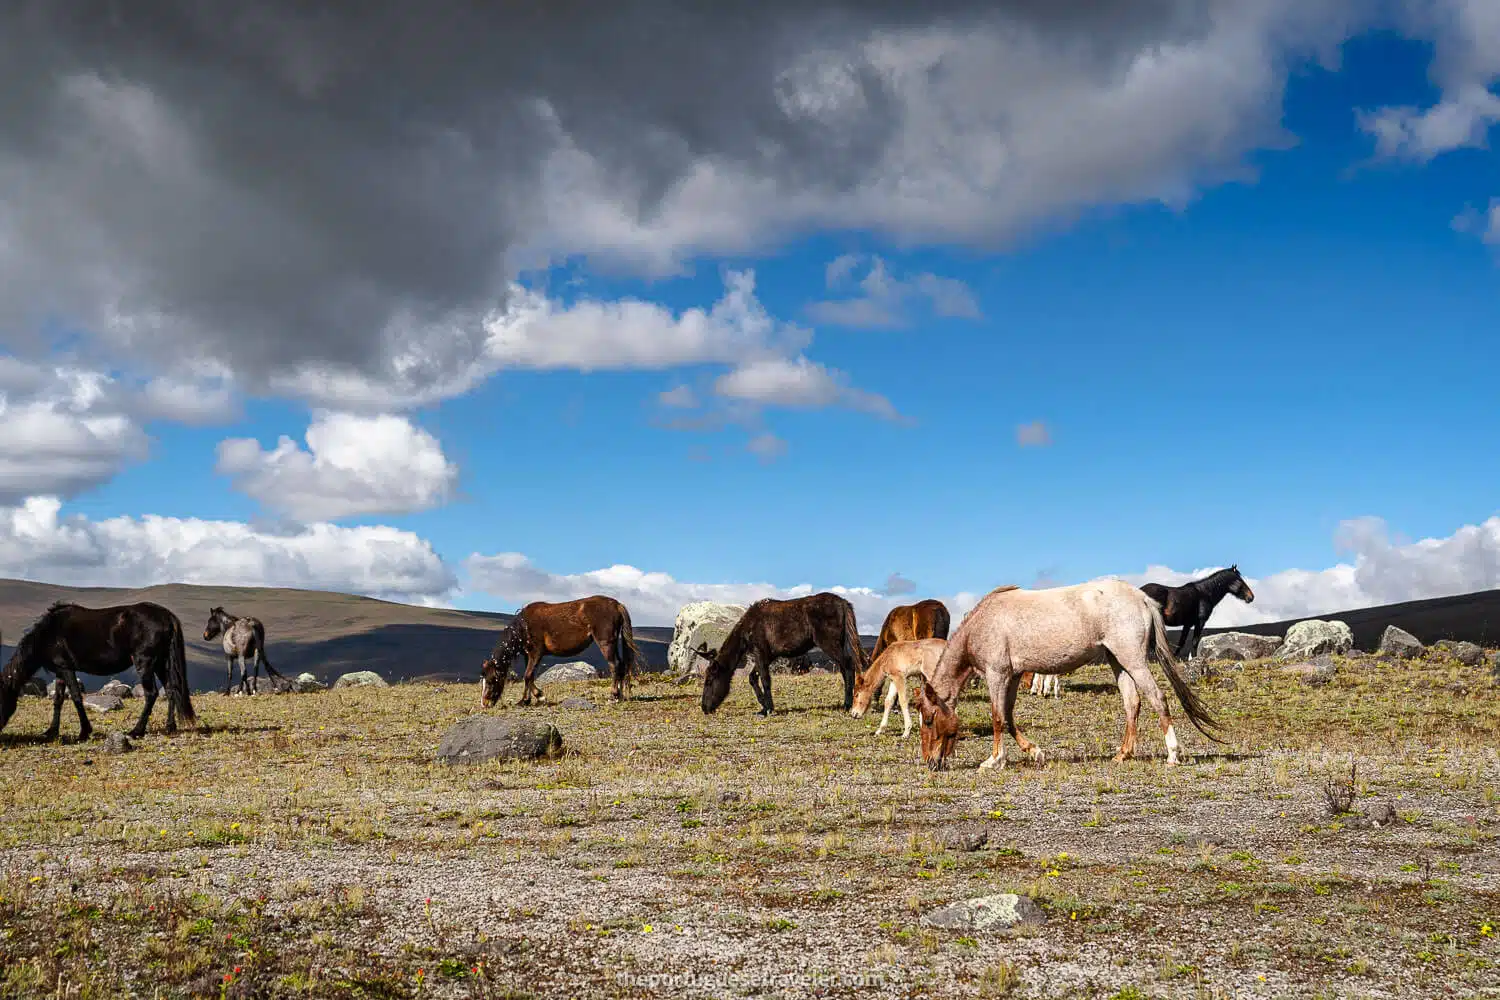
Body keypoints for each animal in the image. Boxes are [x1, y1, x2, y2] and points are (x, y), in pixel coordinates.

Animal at [0, 602, 196, 743]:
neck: (48, 633)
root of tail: (167, 616)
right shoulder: (60, 671)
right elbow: (58, 700)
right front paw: (51, 731)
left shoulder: (66, 668)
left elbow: (76, 697)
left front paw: (84, 732)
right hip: (161, 663)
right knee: (171, 690)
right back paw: (170, 727)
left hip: (146, 663)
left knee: (151, 693)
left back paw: (136, 731)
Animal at [483, 599, 642, 707]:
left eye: (491, 680)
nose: (484, 704)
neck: (523, 626)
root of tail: (617, 604)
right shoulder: (528, 655)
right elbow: (529, 677)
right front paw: (525, 700)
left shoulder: (536, 653)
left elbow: (528, 676)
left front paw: (540, 696)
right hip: (613, 644)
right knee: (621, 666)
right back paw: (620, 696)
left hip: (606, 644)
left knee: (614, 666)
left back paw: (613, 696)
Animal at [699, 590, 870, 716]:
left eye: (709, 681)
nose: (704, 708)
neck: (747, 629)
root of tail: (843, 603)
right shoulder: (767, 656)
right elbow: (753, 678)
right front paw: (763, 706)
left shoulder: (760, 653)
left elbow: (765, 680)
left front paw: (768, 709)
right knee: (844, 668)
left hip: (829, 644)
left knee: (848, 665)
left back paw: (847, 705)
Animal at [906, 581, 1224, 773]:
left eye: (930, 719)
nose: (930, 763)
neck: (982, 624)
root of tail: (1142, 598)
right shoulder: (1013, 675)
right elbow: (1008, 717)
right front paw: (1034, 752)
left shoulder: (997, 675)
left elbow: (997, 717)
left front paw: (994, 760)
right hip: (1118, 661)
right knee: (1132, 703)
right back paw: (1123, 753)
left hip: (1133, 660)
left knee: (1157, 698)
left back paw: (1172, 754)